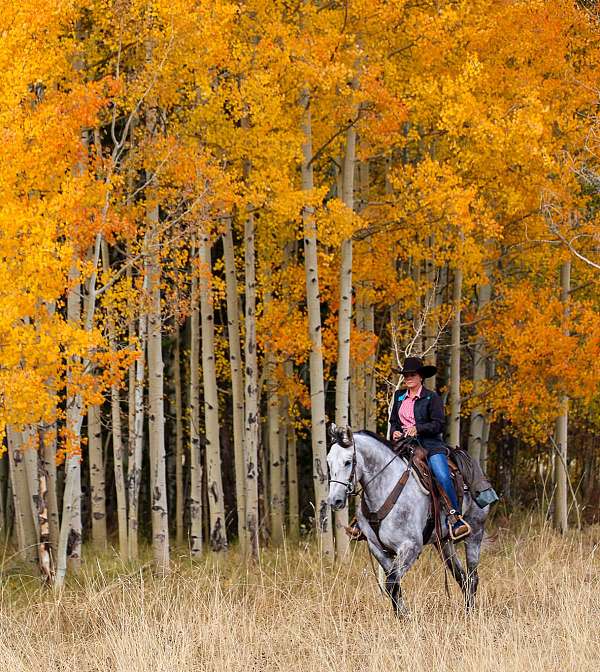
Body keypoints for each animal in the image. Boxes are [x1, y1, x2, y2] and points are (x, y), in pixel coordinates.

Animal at [326, 426, 490, 616]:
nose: (334, 501)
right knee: (462, 576)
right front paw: (402, 615)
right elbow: (394, 585)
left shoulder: (411, 547)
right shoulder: (378, 549)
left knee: (472, 577)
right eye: (329, 462)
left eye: (347, 462)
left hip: (475, 533)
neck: (386, 489)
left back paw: (470, 614)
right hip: (443, 542)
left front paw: (405, 616)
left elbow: (391, 583)